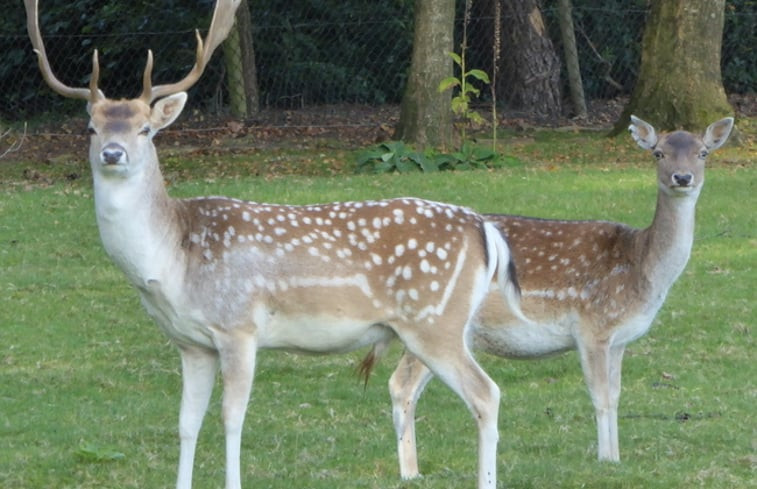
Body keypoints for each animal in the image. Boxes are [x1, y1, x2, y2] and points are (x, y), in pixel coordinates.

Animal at [25, 0, 524, 488]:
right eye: (91, 128)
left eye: (146, 129)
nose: (113, 154)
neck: (173, 263)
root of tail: (484, 228)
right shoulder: (191, 344)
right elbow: (186, 424)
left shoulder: (238, 327)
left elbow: (232, 419)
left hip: (434, 322)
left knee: (487, 394)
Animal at [384, 115, 732, 476]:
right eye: (658, 153)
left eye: (703, 153)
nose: (683, 177)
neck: (641, 269)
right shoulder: (593, 327)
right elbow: (600, 397)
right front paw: (606, 459)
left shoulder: (619, 339)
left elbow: (616, 396)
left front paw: (616, 457)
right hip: (431, 319)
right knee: (401, 384)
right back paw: (411, 473)